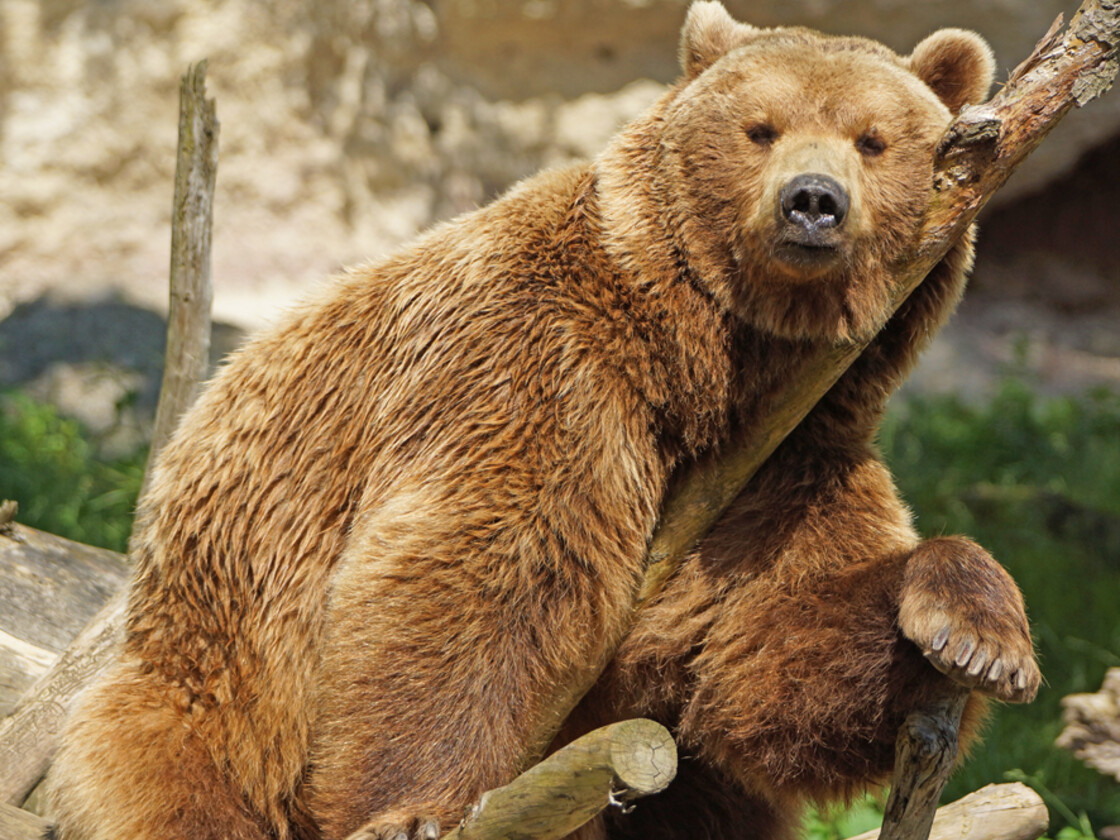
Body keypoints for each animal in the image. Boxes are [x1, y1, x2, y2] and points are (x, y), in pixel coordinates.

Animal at [46, 3, 1039, 840]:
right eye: (760, 129)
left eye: (873, 141)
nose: (812, 201)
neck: (710, 362)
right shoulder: (539, 372)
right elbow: (481, 576)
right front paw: (413, 810)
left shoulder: (785, 460)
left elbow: (756, 657)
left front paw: (971, 636)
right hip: (217, 685)